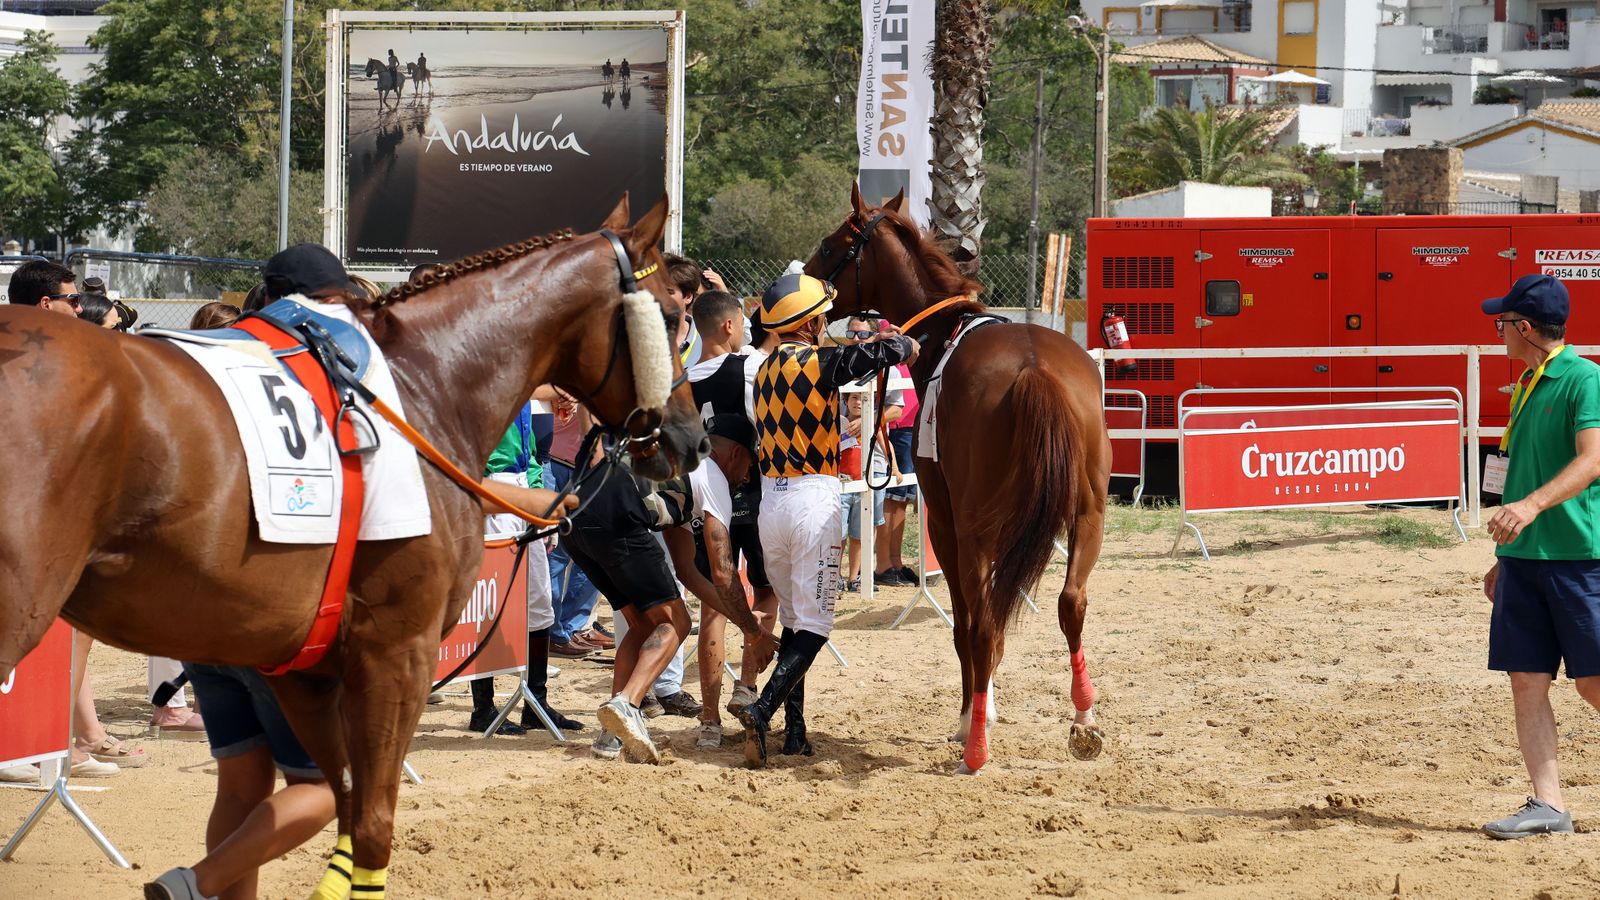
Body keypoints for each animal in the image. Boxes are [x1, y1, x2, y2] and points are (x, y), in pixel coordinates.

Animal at [0, 195, 704, 895]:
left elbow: (329, 808)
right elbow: (370, 827)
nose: (692, 437)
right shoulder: (398, 651)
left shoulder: (302, 670)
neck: (426, 386)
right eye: (671, 315)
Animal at [805, 184, 1110, 775]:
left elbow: (965, 626)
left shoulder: (945, 525)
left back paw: (975, 749)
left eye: (830, 247)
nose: (800, 286)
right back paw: (1083, 719)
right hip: (1089, 516)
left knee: (983, 623)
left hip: (973, 531)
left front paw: (973, 715)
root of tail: (1035, 369)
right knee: (1071, 603)